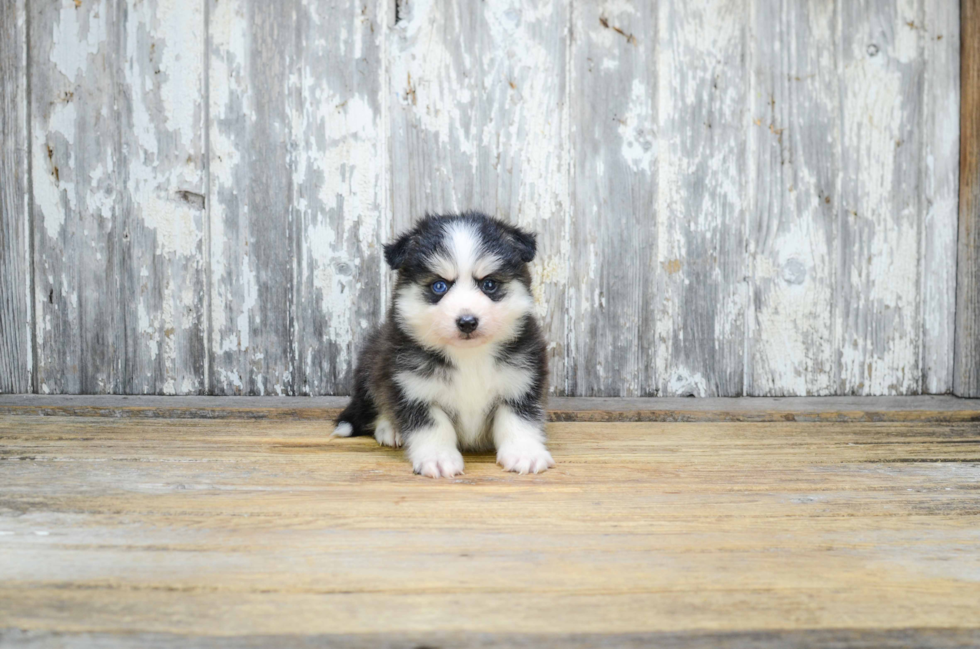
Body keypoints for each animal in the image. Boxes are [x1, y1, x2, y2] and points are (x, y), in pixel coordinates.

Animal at [334, 211, 556, 476]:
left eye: (489, 284)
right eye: (439, 286)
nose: (467, 322)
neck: (469, 358)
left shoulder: (521, 383)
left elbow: (519, 421)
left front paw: (524, 453)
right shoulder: (414, 389)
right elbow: (433, 427)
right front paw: (438, 457)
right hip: (373, 365)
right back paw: (390, 428)